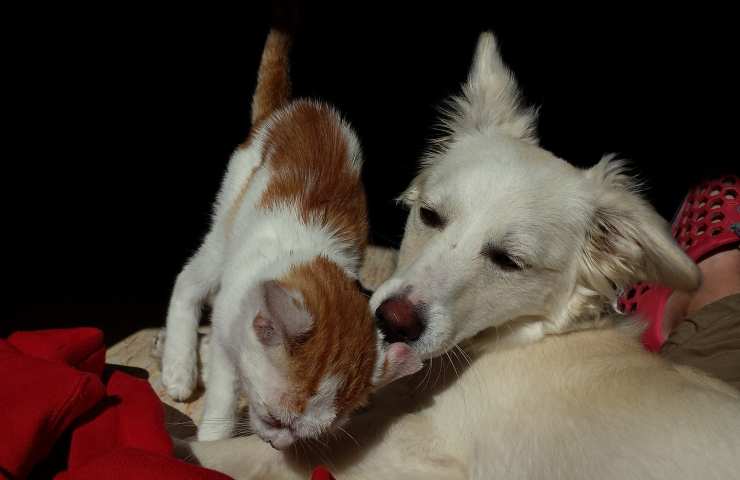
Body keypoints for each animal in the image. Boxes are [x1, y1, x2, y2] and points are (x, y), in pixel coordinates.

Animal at [160, 27, 422, 446]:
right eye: (273, 417)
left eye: (309, 434)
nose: (275, 443)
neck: (305, 255)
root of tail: (296, 107)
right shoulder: (227, 330)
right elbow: (223, 393)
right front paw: (214, 440)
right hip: (228, 217)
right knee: (188, 279)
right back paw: (179, 368)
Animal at [186, 31, 740, 478]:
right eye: (430, 215)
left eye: (509, 261)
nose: (392, 322)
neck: (520, 338)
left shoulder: (409, 454)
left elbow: (261, 451)